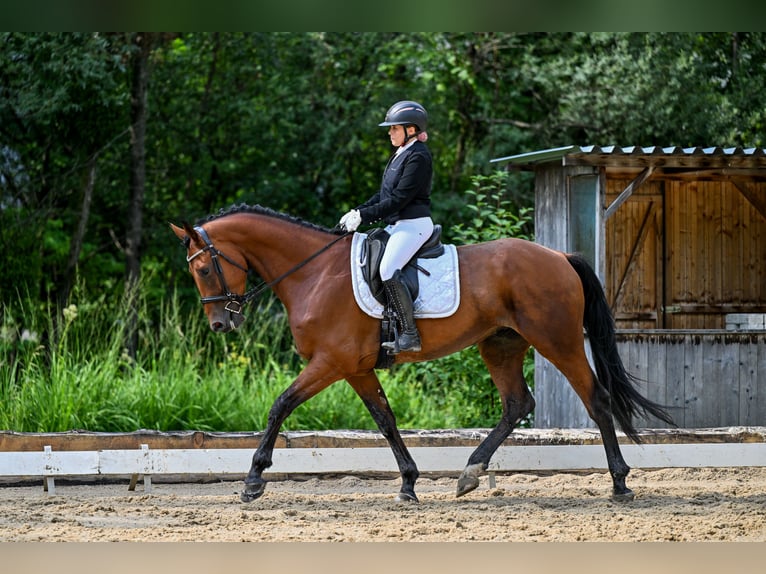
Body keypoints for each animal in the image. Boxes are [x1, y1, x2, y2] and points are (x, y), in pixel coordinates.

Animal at [171, 204, 674, 504]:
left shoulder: (330, 363)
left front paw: (253, 480)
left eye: (203, 268)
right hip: (501, 344)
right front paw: (409, 484)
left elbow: (280, 404)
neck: (313, 273)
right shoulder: (354, 368)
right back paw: (470, 473)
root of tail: (559, 256)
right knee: (517, 403)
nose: (221, 324)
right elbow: (386, 420)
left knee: (596, 400)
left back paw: (620, 483)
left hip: (559, 341)